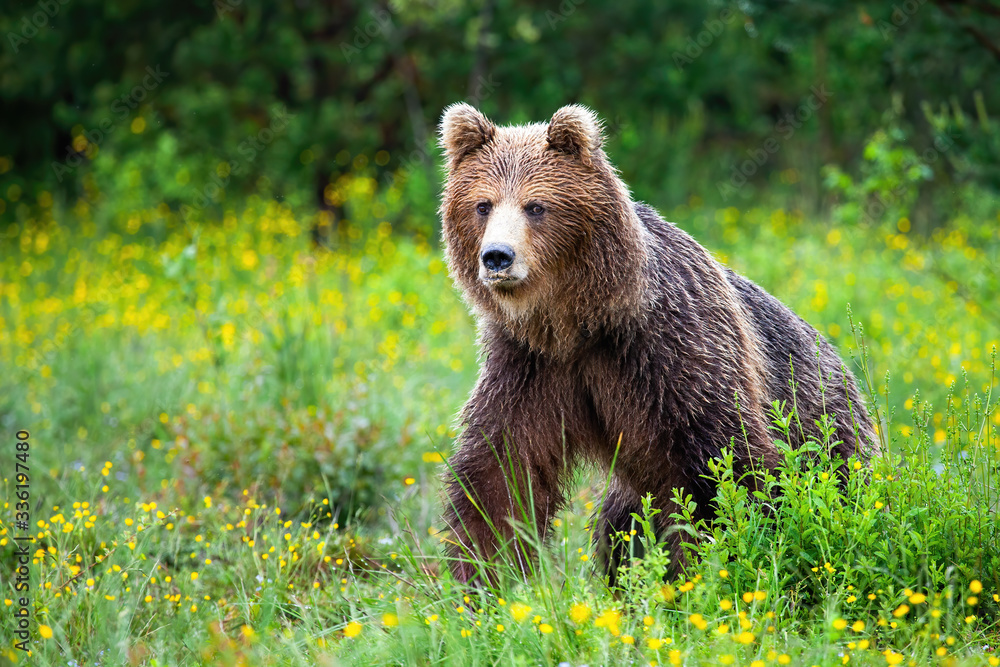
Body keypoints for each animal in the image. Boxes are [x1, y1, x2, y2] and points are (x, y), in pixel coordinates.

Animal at [437, 102, 877, 585]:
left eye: (536, 205)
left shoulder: (671, 349)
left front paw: (717, 566)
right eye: (482, 204)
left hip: (826, 428)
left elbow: (721, 467)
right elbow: (501, 472)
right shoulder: (529, 365)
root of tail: (839, 360)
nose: (497, 256)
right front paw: (482, 576)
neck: (579, 322)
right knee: (618, 527)